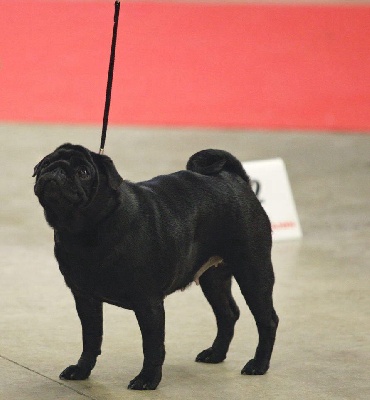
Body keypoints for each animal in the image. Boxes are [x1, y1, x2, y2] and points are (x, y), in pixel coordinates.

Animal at [33, 145, 278, 390]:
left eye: (83, 172)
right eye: (45, 164)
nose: (56, 169)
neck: (87, 231)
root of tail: (235, 178)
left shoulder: (148, 303)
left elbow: (152, 346)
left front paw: (148, 379)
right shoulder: (85, 298)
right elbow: (91, 339)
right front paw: (82, 370)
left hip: (253, 272)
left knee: (267, 320)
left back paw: (258, 364)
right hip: (213, 280)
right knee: (227, 314)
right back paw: (215, 354)